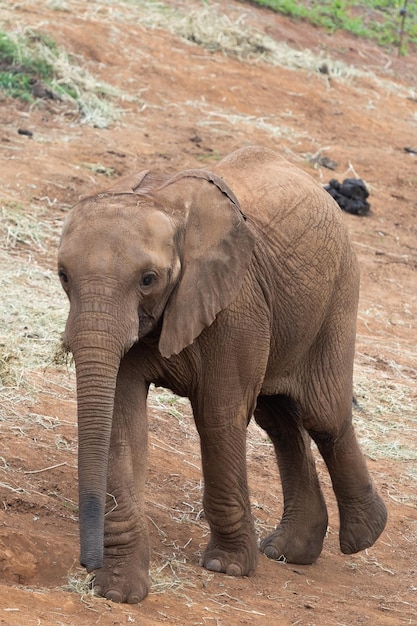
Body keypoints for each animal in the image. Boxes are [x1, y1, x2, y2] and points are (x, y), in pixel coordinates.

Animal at [57, 144, 386, 604]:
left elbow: (218, 416)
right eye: (63, 276)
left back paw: (364, 537)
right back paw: (289, 551)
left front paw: (226, 567)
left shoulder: (235, 303)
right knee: (279, 419)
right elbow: (121, 424)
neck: (162, 202)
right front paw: (118, 592)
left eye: (148, 280)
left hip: (338, 292)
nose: (88, 563)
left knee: (324, 415)